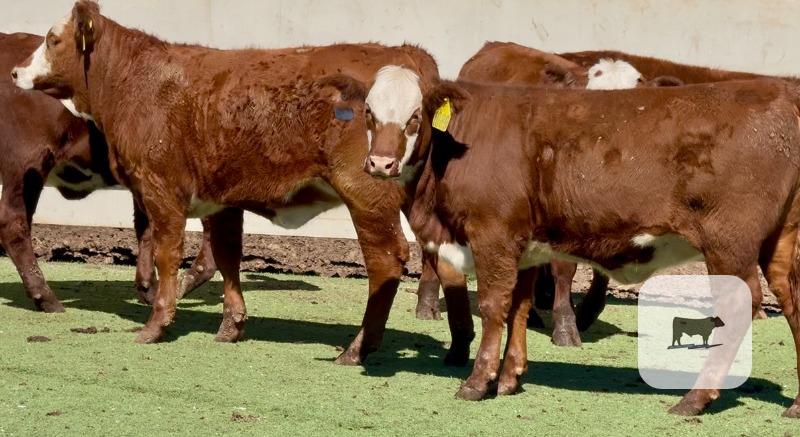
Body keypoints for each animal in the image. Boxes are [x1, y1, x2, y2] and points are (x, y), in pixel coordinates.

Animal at [332, 66, 800, 417]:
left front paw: (478, 381)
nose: (380, 163)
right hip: (780, 242)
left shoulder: (493, 233)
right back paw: (793, 406)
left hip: (729, 243)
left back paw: (694, 399)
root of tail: (778, 90)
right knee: (791, 301)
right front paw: (510, 378)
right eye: (369, 113)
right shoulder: (525, 245)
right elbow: (519, 309)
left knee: (740, 305)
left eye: (415, 116)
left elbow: (495, 307)